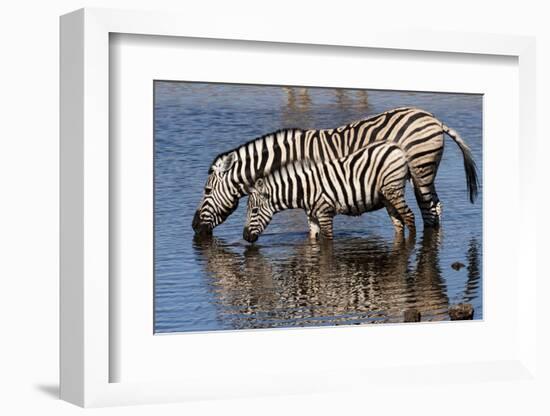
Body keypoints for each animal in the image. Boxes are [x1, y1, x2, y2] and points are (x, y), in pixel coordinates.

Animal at [244, 141, 420, 242]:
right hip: (386, 197)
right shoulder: (312, 217)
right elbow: (313, 239)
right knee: (398, 223)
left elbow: (327, 242)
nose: (245, 237)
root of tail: (397, 147)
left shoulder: (325, 213)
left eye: (254, 211)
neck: (304, 190)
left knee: (409, 217)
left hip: (393, 189)